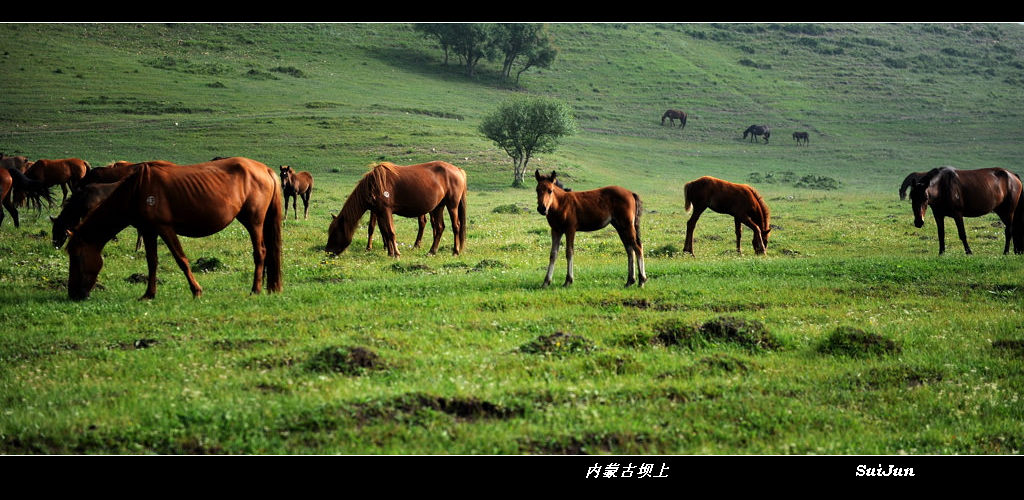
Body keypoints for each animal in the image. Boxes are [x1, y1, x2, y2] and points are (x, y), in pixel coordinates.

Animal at [65, 157, 282, 301]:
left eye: (77, 257)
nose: (73, 294)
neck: (136, 190)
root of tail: (265, 169)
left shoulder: (165, 228)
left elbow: (181, 260)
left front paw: (196, 290)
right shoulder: (149, 231)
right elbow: (152, 262)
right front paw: (149, 294)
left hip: (254, 221)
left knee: (260, 252)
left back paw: (255, 289)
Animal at [327, 160, 468, 258]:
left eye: (335, 232)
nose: (327, 251)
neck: (373, 185)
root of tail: (458, 170)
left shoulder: (386, 211)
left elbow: (391, 232)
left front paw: (396, 253)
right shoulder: (379, 212)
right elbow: (384, 232)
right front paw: (390, 253)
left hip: (452, 205)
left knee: (456, 226)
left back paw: (455, 251)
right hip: (438, 207)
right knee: (439, 228)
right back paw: (432, 251)